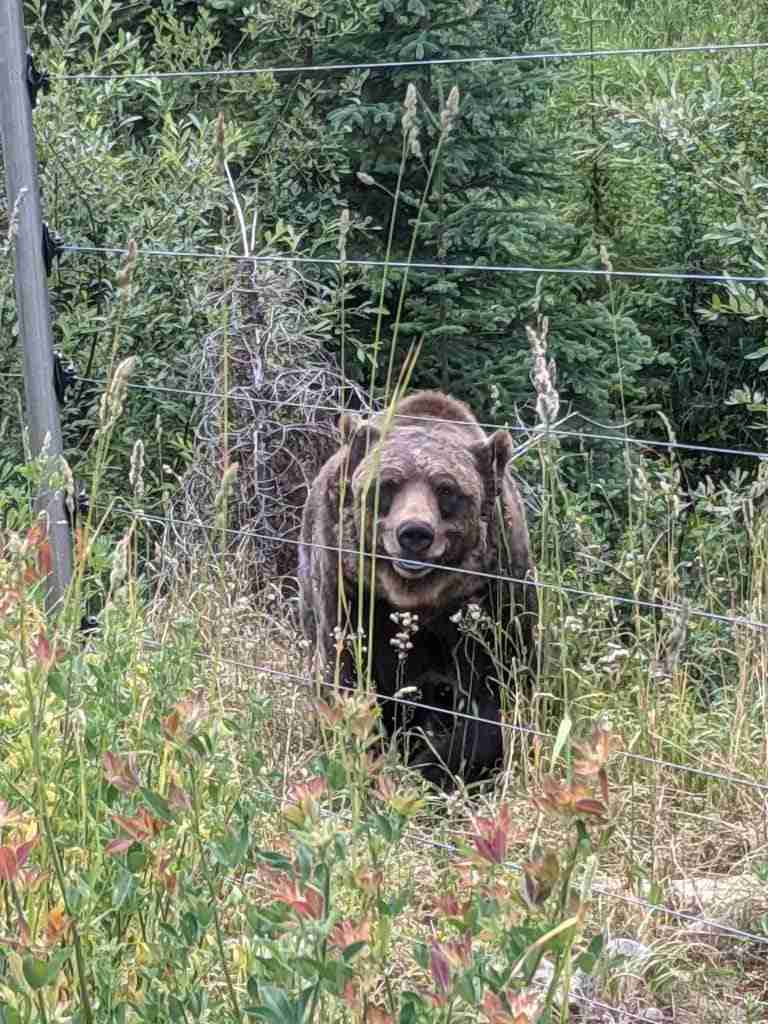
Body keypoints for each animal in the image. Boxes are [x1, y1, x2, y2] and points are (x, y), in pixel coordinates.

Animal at [298, 389, 537, 790]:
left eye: (447, 489)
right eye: (387, 485)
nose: (414, 533)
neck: (414, 597)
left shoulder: (491, 593)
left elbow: (493, 698)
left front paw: (429, 768)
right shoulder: (346, 584)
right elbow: (344, 675)